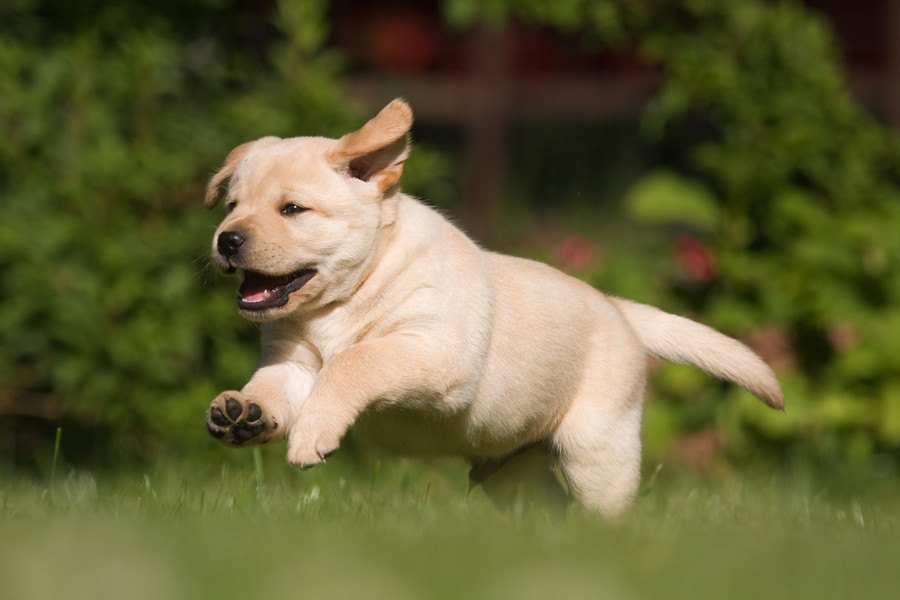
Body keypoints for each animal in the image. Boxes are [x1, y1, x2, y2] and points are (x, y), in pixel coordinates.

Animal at [204, 98, 780, 516]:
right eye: (232, 206)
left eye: (293, 209)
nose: (226, 239)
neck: (345, 298)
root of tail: (615, 306)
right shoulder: (293, 364)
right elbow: (274, 388)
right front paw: (243, 412)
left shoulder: (436, 351)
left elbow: (355, 360)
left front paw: (312, 435)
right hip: (513, 473)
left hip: (597, 449)